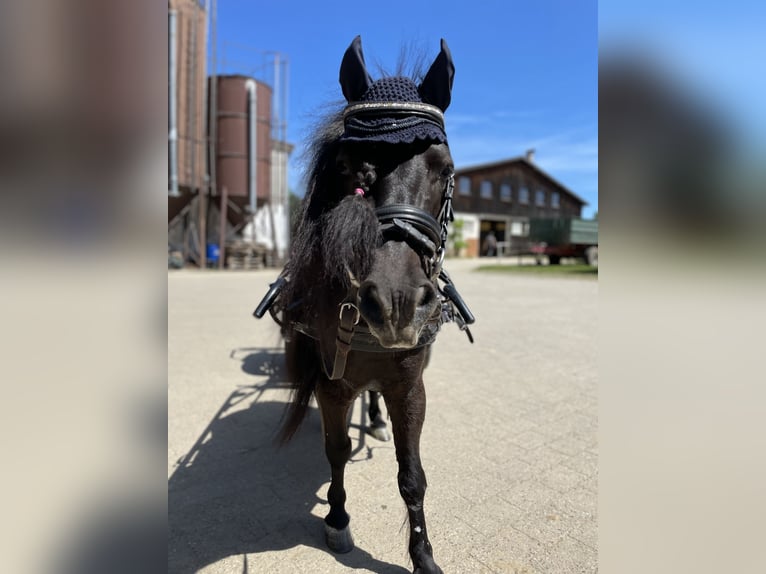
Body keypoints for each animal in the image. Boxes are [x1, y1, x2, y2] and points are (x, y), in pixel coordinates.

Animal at [255, 35, 474, 574]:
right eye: (349, 166)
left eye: (446, 169)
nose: (395, 302)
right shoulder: (331, 386)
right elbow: (335, 451)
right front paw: (336, 520)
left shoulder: (410, 387)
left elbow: (412, 475)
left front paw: (422, 554)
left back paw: (373, 418)